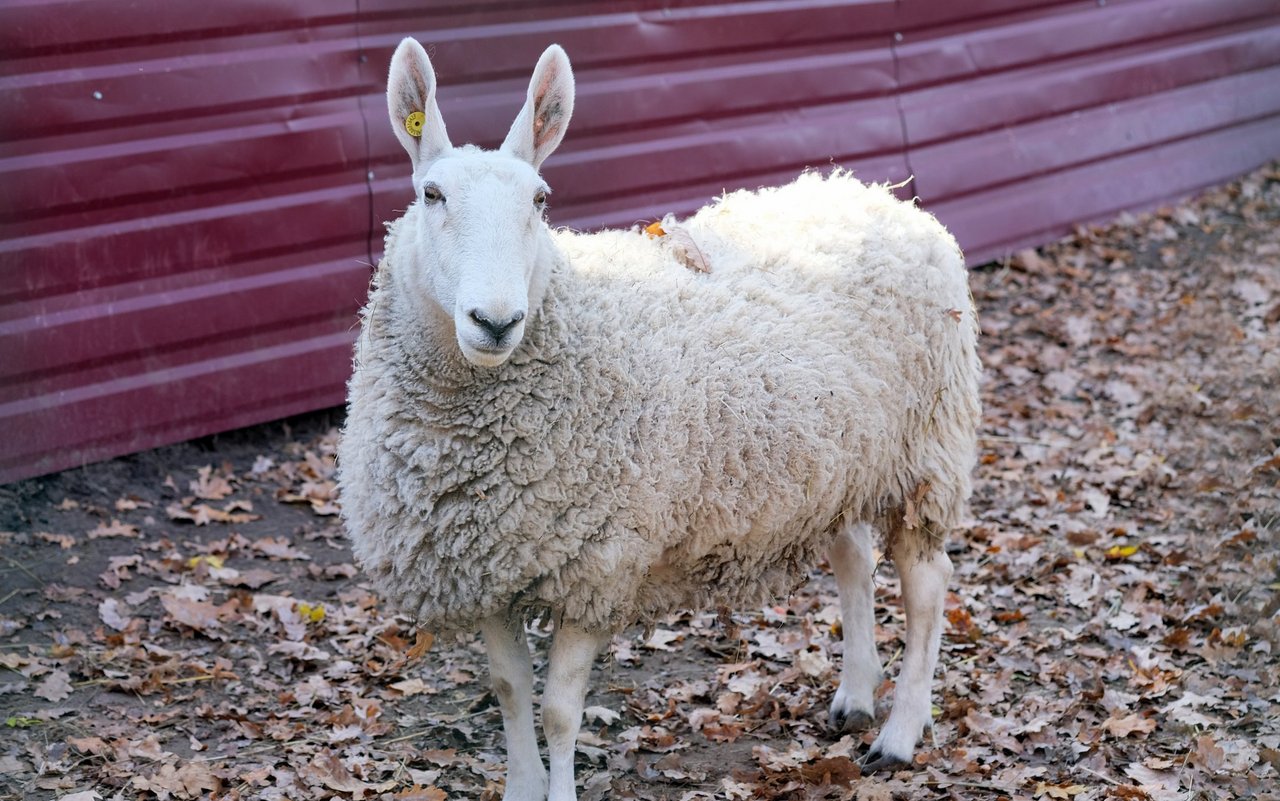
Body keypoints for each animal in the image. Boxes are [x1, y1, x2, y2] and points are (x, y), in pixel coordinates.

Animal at [337, 40, 977, 798]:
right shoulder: (487, 565)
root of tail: (876, 193)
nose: (495, 321)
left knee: (927, 586)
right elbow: (510, 691)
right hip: (834, 455)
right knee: (853, 556)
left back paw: (900, 732)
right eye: (430, 195)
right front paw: (521, 784)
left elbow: (558, 711)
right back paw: (853, 695)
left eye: (540, 201)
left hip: (926, 448)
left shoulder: (599, 565)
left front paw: (558, 789)